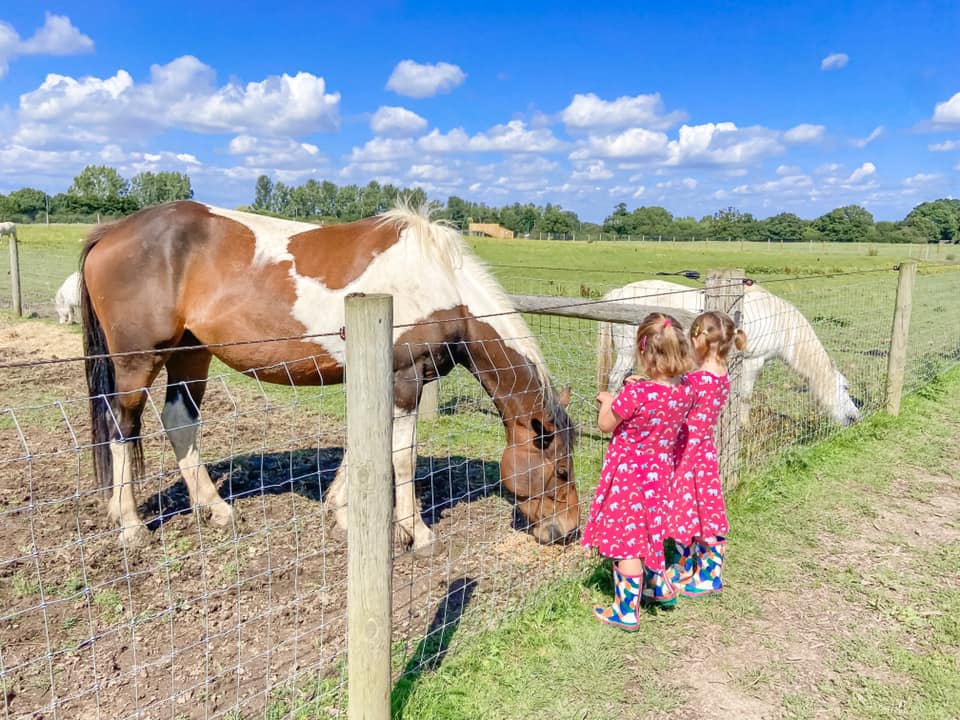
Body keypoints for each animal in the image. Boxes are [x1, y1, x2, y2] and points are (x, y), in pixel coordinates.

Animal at [80, 200, 576, 556]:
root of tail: (112, 233)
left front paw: (342, 509)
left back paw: (216, 510)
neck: (443, 287)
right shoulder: (405, 378)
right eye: (561, 469)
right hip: (138, 360)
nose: (568, 531)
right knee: (123, 426)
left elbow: (367, 444)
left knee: (180, 421)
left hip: (190, 354)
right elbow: (402, 457)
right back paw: (130, 524)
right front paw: (416, 533)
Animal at [600, 280, 864, 428]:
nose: (855, 418)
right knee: (614, 380)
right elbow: (745, 397)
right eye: (845, 388)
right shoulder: (752, 362)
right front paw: (744, 427)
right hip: (626, 352)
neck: (781, 325)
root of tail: (618, 293)